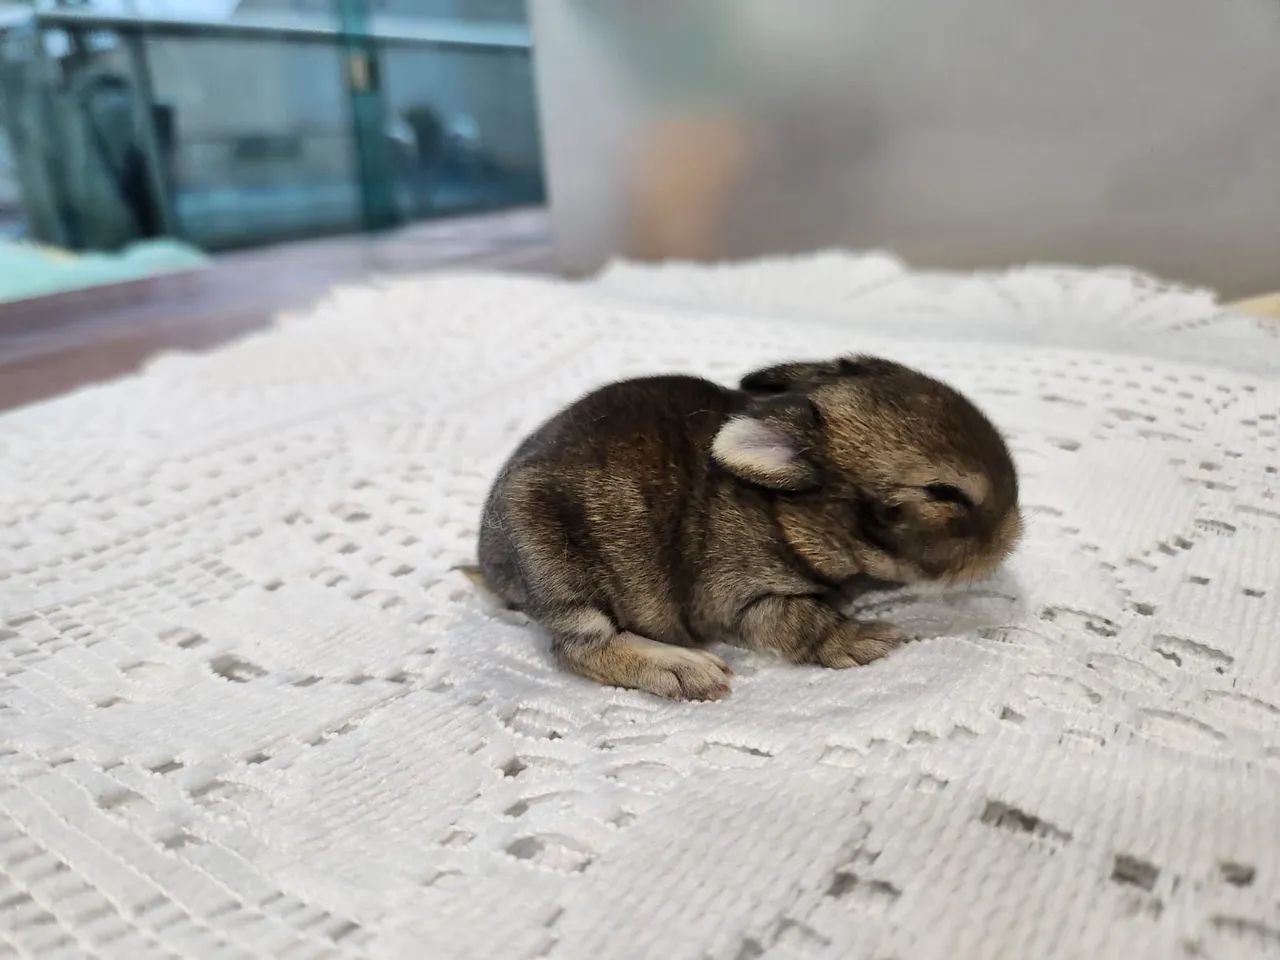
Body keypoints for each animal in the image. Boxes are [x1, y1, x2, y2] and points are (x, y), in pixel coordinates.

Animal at [476, 355, 1021, 700]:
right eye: (944, 492)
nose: (1012, 535)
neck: (786, 511)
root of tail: (489, 559)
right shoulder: (744, 596)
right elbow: (802, 623)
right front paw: (868, 639)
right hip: (556, 560)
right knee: (578, 648)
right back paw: (685, 670)